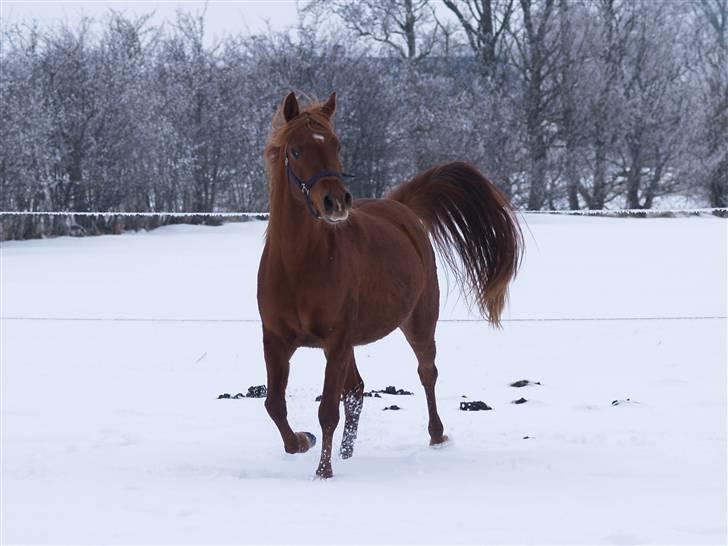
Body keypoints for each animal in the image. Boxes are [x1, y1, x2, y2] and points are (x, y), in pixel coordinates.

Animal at [258, 91, 520, 474]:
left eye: (336, 144)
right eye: (296, 151)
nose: (335, 202)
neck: (298, 266)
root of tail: (401, 206)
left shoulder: (335, 342)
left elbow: (327, 411)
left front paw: (323, 472)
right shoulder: (276, 341)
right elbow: (275, 405)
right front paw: (302, 442)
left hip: (418, 323)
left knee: (426, 372)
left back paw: (436, 436)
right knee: (356, 390)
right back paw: (347, 452)